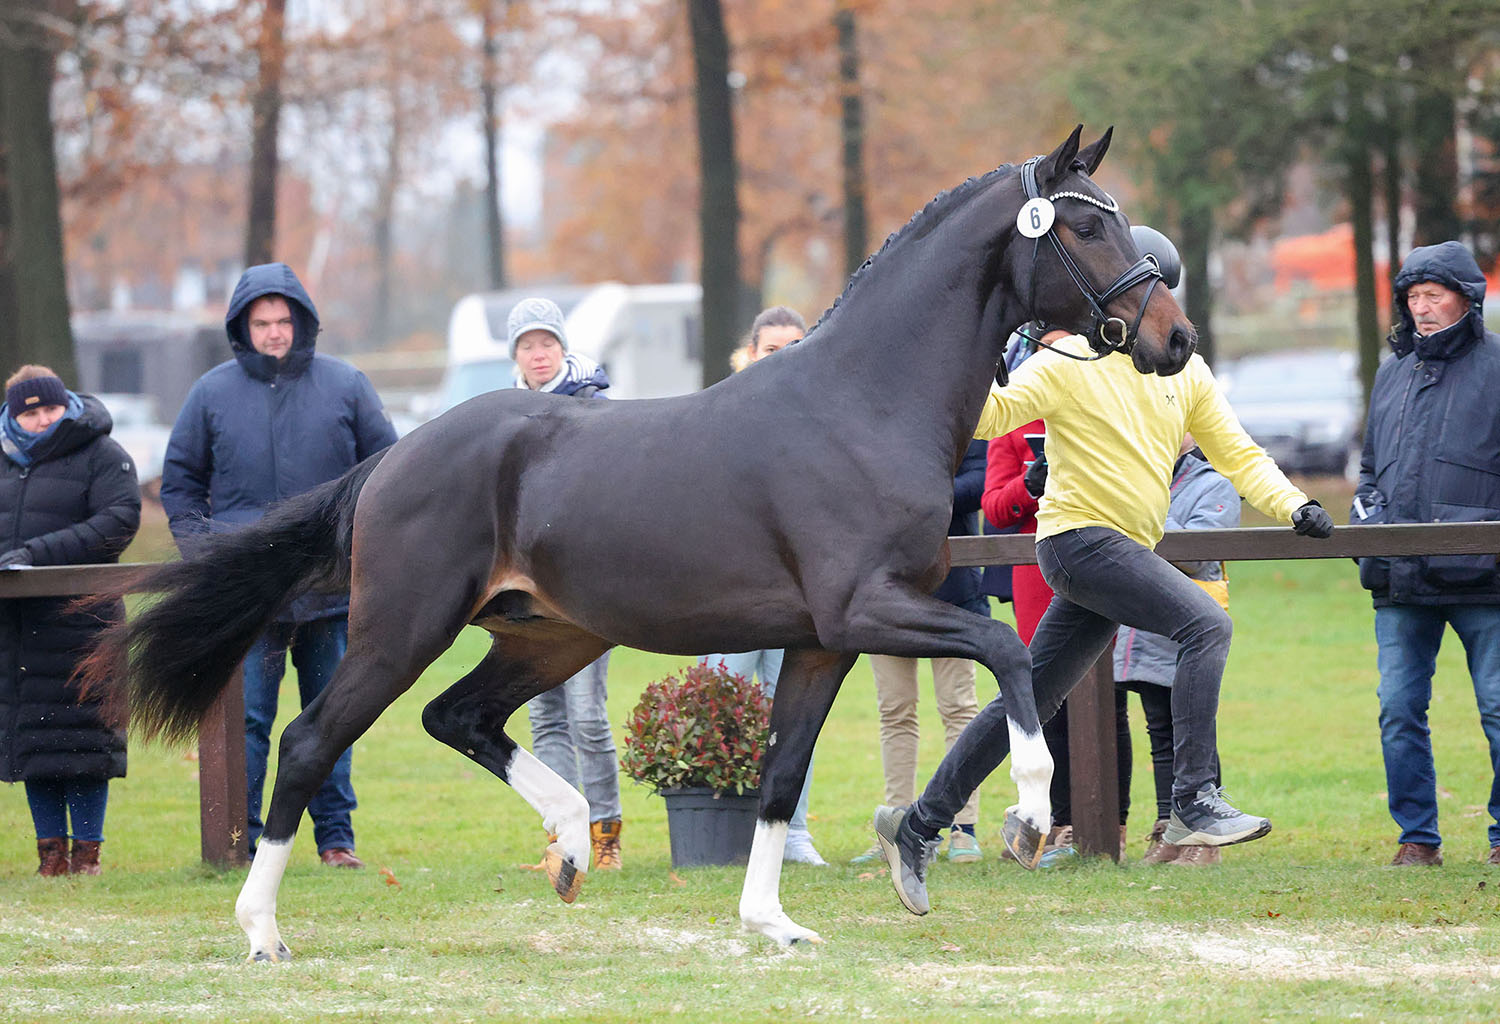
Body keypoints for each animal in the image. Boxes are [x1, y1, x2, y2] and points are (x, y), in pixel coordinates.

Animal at [87, 130, 1194, 959]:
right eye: (1085, 223)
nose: (1174, 339)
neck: (863, 403)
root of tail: (393, 457)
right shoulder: (866, 610)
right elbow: (1008, 652)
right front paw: (1027, 817)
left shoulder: (820, 642)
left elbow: (779, 774)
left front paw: (772, 922)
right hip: (401, 629)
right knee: (314, 742)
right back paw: (262, 930)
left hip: (549, 636)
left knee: (459, 717)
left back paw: (574, 843)